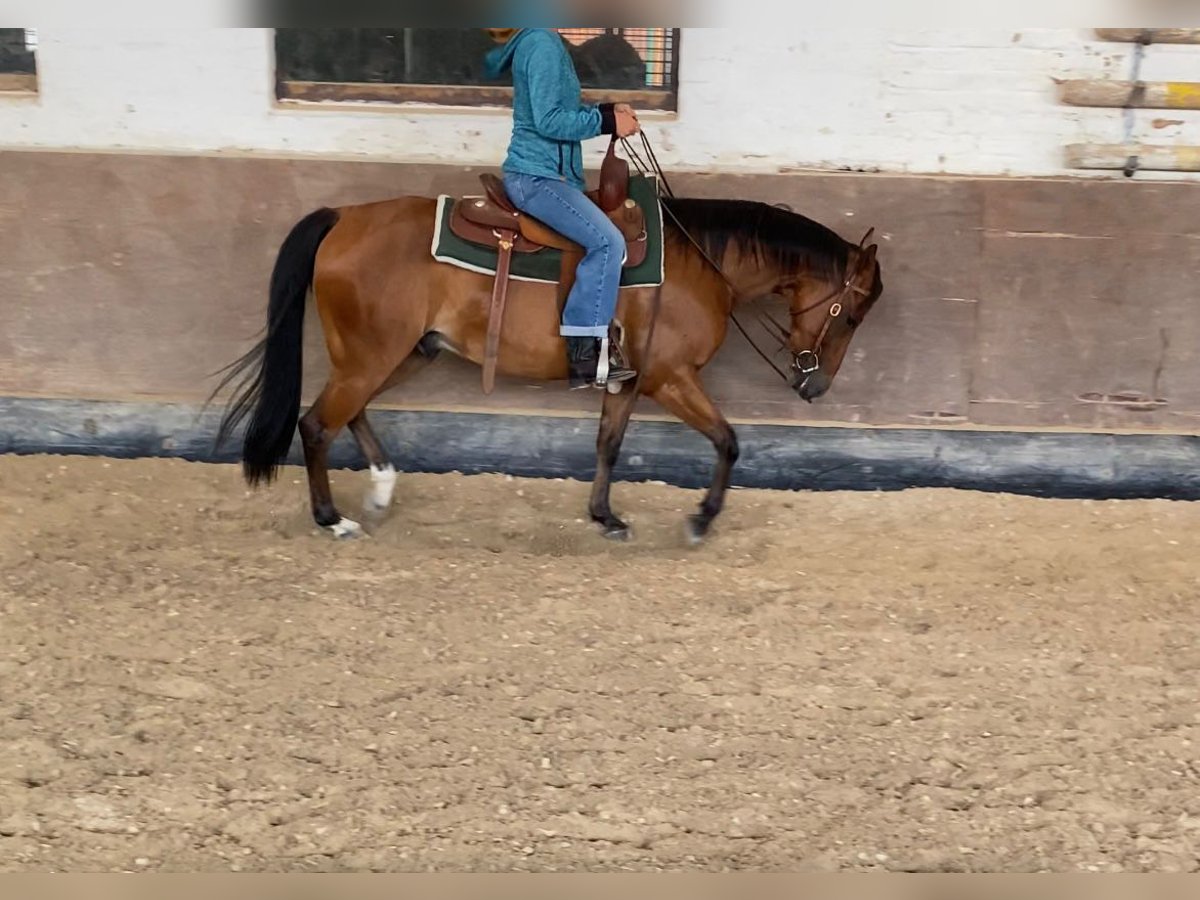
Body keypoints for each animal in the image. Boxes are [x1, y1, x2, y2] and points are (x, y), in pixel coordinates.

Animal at [211, 190, 884, 543]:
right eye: (852, 314)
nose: (817, 384)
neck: (699, 264)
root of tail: (345, 215)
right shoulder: (671, 378)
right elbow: (728, 440)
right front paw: (701, 518)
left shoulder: (630, 381)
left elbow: (609, 444)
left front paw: (606, 516)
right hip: (373, 354)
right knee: (317, 424)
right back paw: (333, 519)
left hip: (402, 353)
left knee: (349, 414)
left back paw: (380, 489)